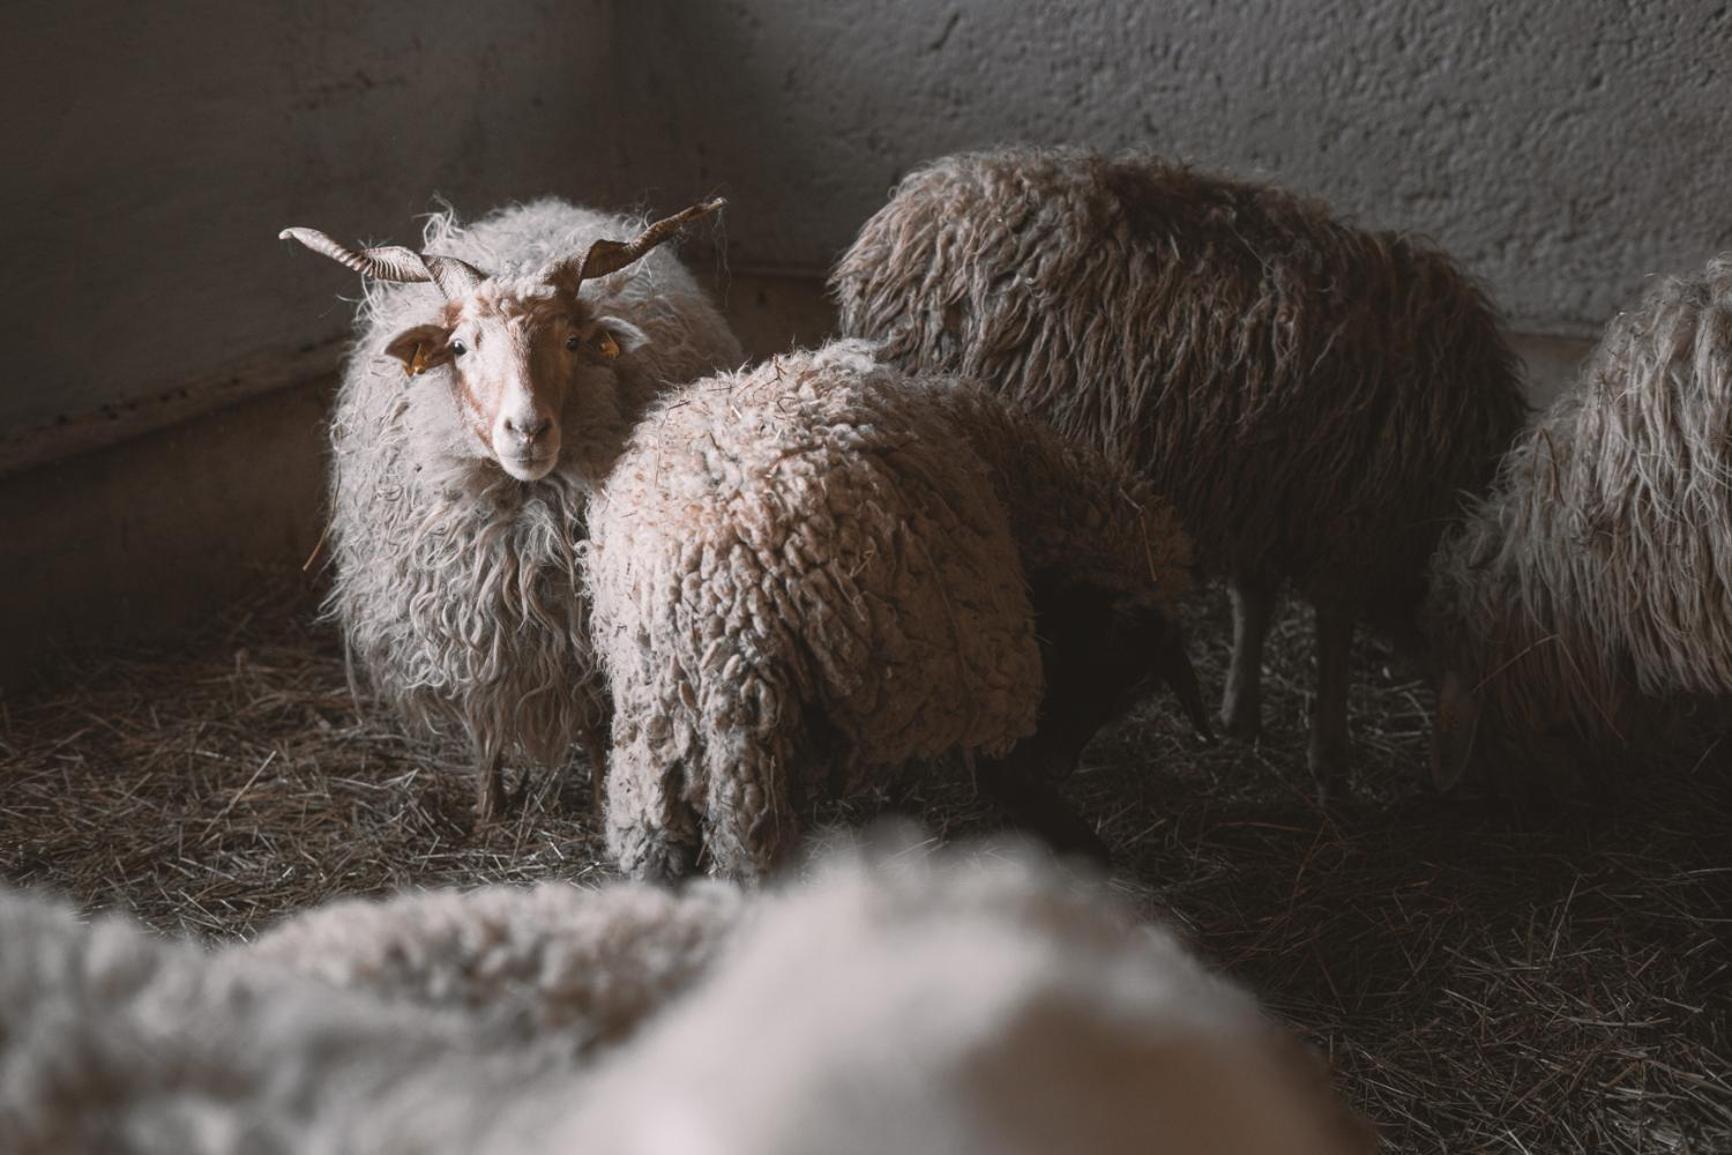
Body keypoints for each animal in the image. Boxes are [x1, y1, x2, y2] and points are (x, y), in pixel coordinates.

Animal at [280, 196, 741, 820]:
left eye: (572, 343)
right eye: (458, 347)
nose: (527, 430)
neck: (523, 521)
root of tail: (541, 210)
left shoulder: (579, 642)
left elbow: (594, 725)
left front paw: (602, 795)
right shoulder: (470, 631)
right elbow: (485, 724)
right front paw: (488, 806)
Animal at [581, 339, 1205, 879]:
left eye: (1130, 688)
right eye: (1081, 650)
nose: (1058, 764)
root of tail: (724, 596)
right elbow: (998, 776)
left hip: (659, 708)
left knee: (653, 827)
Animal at [831, 144, 1524, 800]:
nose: (1494, 788)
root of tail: (908, 215)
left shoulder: (1265, 497)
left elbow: (1255, 599)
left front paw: (1241, 713)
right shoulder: (1352, 522)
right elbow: (1333, 633)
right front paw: (1330, 760)